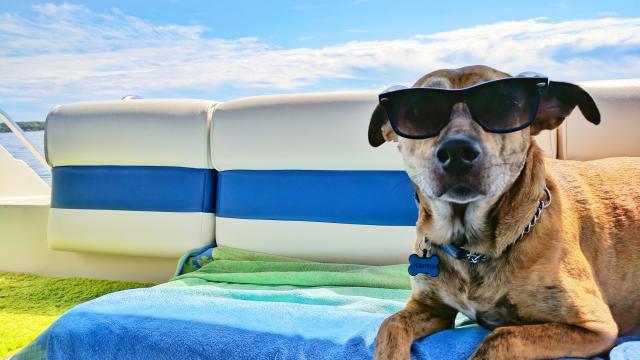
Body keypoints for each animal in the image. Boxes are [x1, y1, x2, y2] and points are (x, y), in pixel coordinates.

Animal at [368, 65, 640, 360]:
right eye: (418, 111)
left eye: (504, 103)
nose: (456, 152)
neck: (471, 248)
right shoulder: (430, 308)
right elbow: (390, 325)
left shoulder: (595, 325)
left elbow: (501, 336)